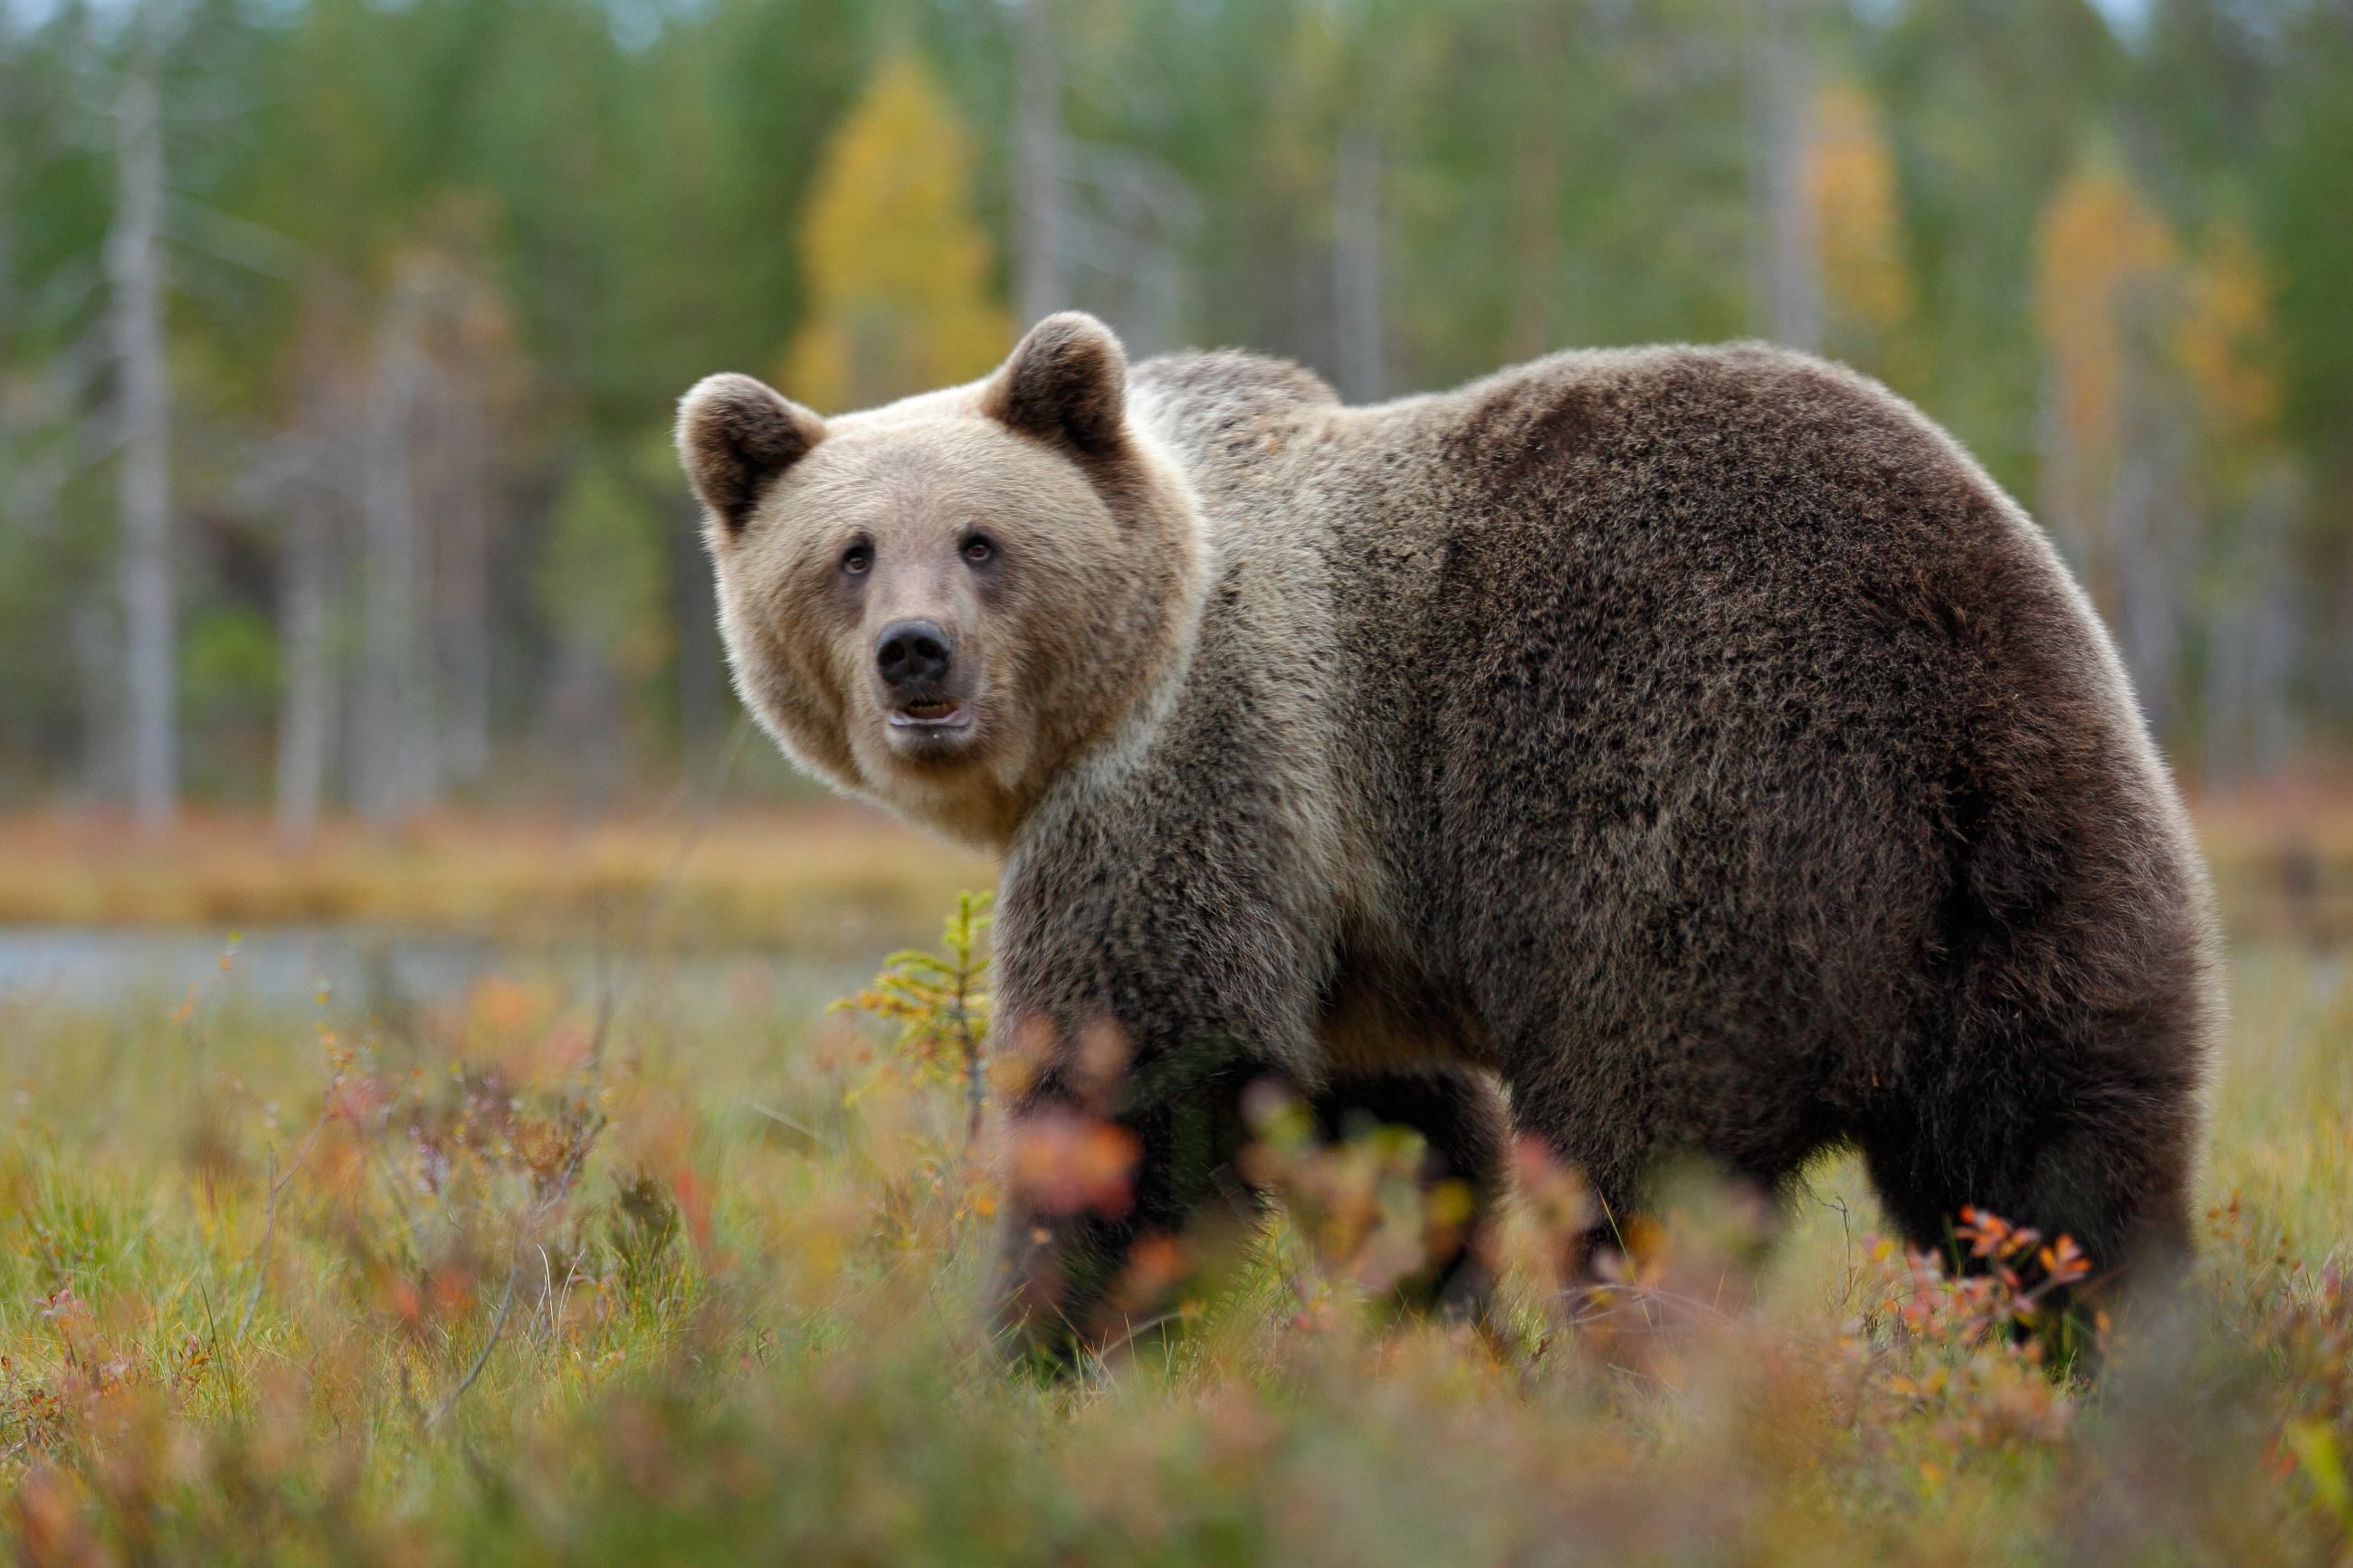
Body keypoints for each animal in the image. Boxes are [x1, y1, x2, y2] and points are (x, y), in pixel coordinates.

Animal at [682, 309, 2221, 1363]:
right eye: (850, 553)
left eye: (980, 539)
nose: (916, 656)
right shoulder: (1350, 935)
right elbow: (1400, 1130)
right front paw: (1437, 1312)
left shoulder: (1205, 773)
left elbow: (1141, 1082)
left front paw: (1037, 1350)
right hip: (2056, 860)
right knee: (2063, 1166)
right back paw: (2104, 1366)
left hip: (1688, 826)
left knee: (1642, 1165)